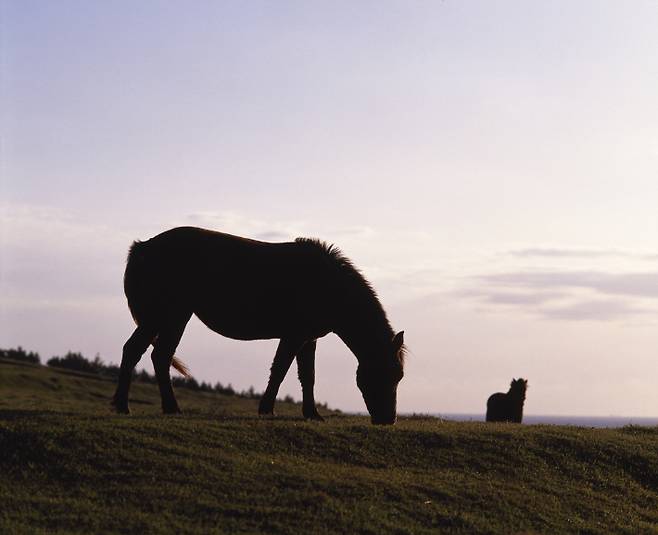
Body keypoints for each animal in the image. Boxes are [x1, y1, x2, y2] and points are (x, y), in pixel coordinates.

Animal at [110, 228, 402, 426]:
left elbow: (307, 376)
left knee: (153, 355)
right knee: (141, 352)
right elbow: (280, 370)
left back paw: (156, 407)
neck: (328, 285)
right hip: (167, 316)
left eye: (398, 376)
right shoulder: (294, 335)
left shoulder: (308, 338)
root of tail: (142, 247)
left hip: (171, 318)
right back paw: (131, 406)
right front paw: (267, 409)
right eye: (385, 373)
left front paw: (312, 413)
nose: (388, 419)